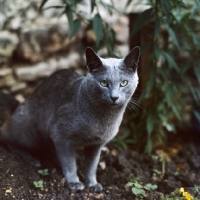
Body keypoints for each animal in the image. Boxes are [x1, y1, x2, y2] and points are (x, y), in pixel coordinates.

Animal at [0, 46, 140, 191]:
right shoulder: (61, 136)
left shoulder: (97, 145)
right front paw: (74, 182)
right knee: (6, 136)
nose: (114, 97)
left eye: (123, 83)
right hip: (28, 131)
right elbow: (69, 163)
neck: (104, 118)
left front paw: (92, 184)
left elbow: (92, 165)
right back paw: (33, 160)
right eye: (103, 83)